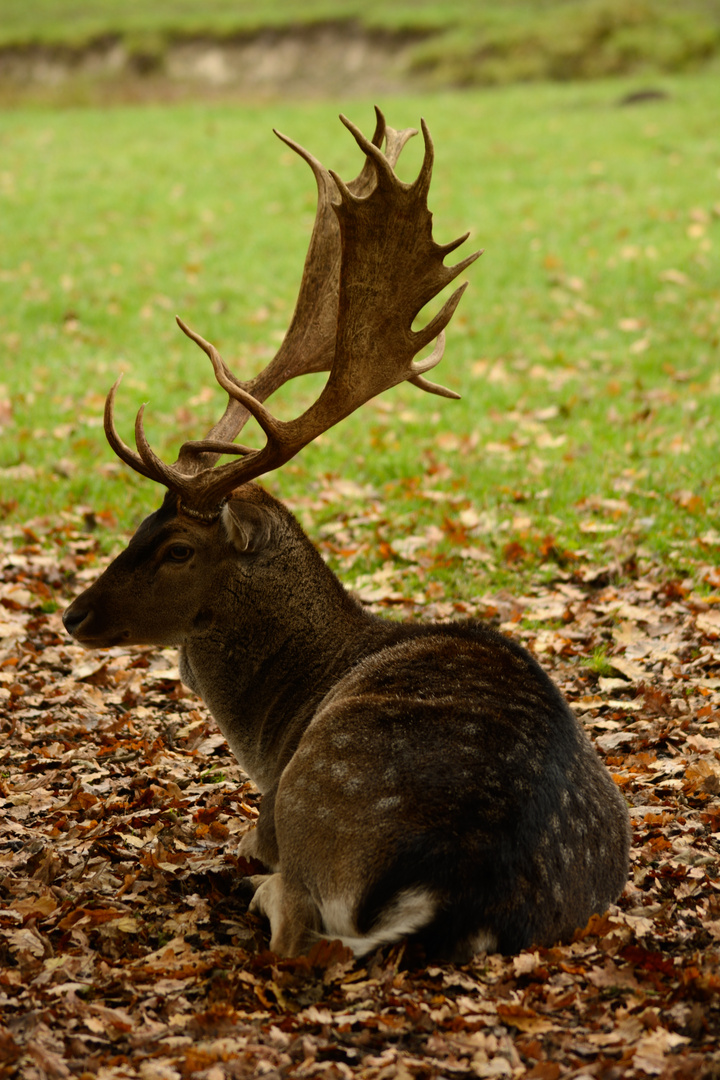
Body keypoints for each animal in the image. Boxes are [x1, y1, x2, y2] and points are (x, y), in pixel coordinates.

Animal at [63, 111, 630, 963]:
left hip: (315, 795)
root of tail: (448, 891)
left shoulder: (268, 807)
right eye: (140, 525)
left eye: (177, 549)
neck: (272, 722)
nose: (75, 615)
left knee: (298, 924)